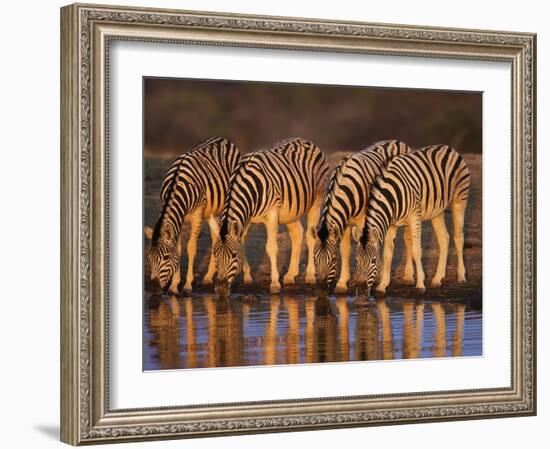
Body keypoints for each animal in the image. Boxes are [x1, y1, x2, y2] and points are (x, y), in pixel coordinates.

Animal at [144, 136, 242, 294]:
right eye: (149, 257)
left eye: (165, 257)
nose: (154, 289)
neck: (177, 185)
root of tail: (222, 138)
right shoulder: (179, 217)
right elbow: (178, 248)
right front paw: (174, 285)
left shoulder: (197, 214)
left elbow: (191, 247)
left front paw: (188, 284)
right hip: (210, 213)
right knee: (215, 238)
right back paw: (208, 277)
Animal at [215, 138, 330, 296]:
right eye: (215, 255)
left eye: (233, 255)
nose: (220, 290)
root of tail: (306, 141)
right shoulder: (246, 218)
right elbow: (242, 243)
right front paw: (248, 277)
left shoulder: (272, 214)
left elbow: (271, 247)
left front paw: (275, 283)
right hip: (291, 211)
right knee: (297, 234)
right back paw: (290, 275)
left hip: (317, 200)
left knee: (310, 237)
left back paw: (310, 276)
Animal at [310, 141, 414, 294]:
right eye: (314, 258)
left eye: (334, 259)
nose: (321, 291)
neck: (347, 187)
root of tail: (398, 142)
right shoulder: (346, 221)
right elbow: (345, 250)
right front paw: (342, 283)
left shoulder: (363, 219)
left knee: (408, 240)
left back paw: (408, 276)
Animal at [354, 144, 470, 298]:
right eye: (356, 260)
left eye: (373, 260)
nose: (361, 292)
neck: (391, 197)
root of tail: (449, 148)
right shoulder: (391, 224)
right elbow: (388, 254)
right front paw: (382, 286)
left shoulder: (415, 216)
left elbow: (416, 250)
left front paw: (420, 284)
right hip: (437, 211)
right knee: (444, 238)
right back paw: (437, 278)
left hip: (459, 200)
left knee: (458, 237)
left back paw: (461, 277)